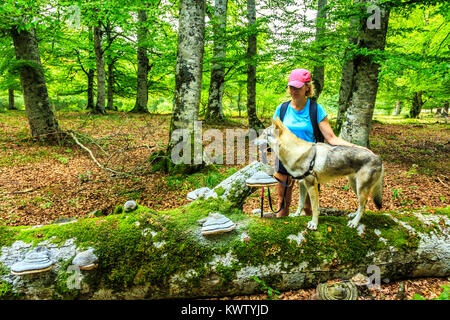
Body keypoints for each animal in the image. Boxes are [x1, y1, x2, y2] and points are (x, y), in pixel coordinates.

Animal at [253, 117, 384, 230]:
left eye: (264, 134)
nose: (253, 141)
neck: (295, 152)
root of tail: (378, 157)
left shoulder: (311, 185)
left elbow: (315, 208)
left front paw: (314, 224)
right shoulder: (301, 183)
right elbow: (300, 203)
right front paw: (296, 215)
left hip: (361, 188)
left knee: (364, 205)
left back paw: (354, 222)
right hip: (355, 186)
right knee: (363, 203)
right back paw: (353, 216)